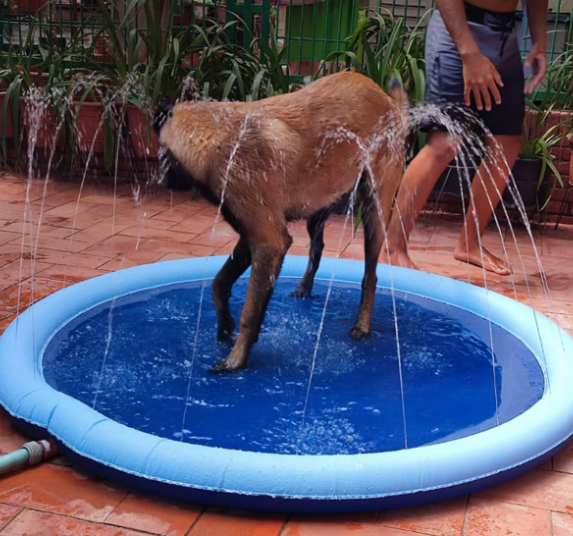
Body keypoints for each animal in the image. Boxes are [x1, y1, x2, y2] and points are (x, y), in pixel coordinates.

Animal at [153, 71, 406, 372]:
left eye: (162, 156)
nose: (160, 179)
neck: (215, 136)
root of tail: (389, 102)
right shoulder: (251, 237)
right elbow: (219, 282)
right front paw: (224, 325)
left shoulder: (269, 242)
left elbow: (250, 312)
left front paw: (236, 359)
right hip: (318, 207)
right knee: (317, 250)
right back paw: (305, 287)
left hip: (373, 213)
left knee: (370, 275)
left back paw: (362, 326)